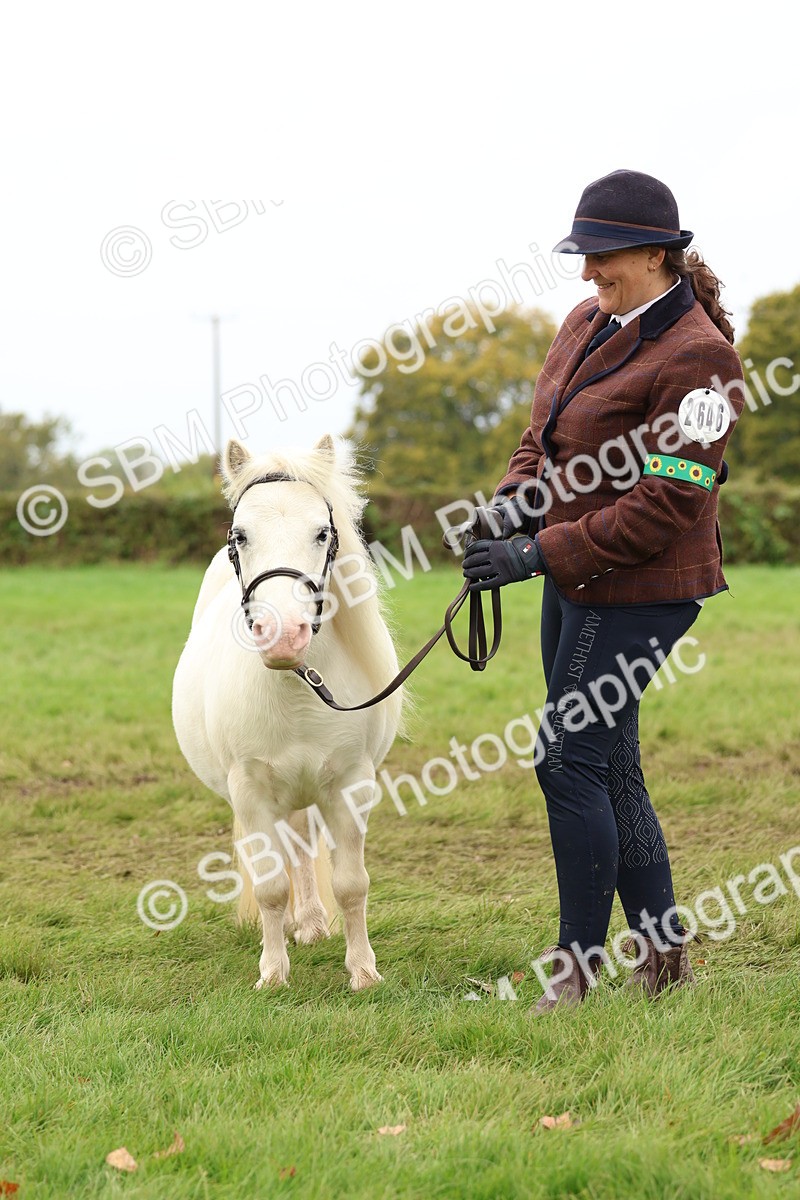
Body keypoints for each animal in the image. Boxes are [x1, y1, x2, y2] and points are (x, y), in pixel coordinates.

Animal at [172, 434, 404, 990]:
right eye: (240, 535)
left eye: (322, 533)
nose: (282, 637)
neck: (296, 688)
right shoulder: (252, 794)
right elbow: (271, 887)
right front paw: (273, 973)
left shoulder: (351, 786)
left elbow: (352, 883)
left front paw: (363, 971)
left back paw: (313, 923)